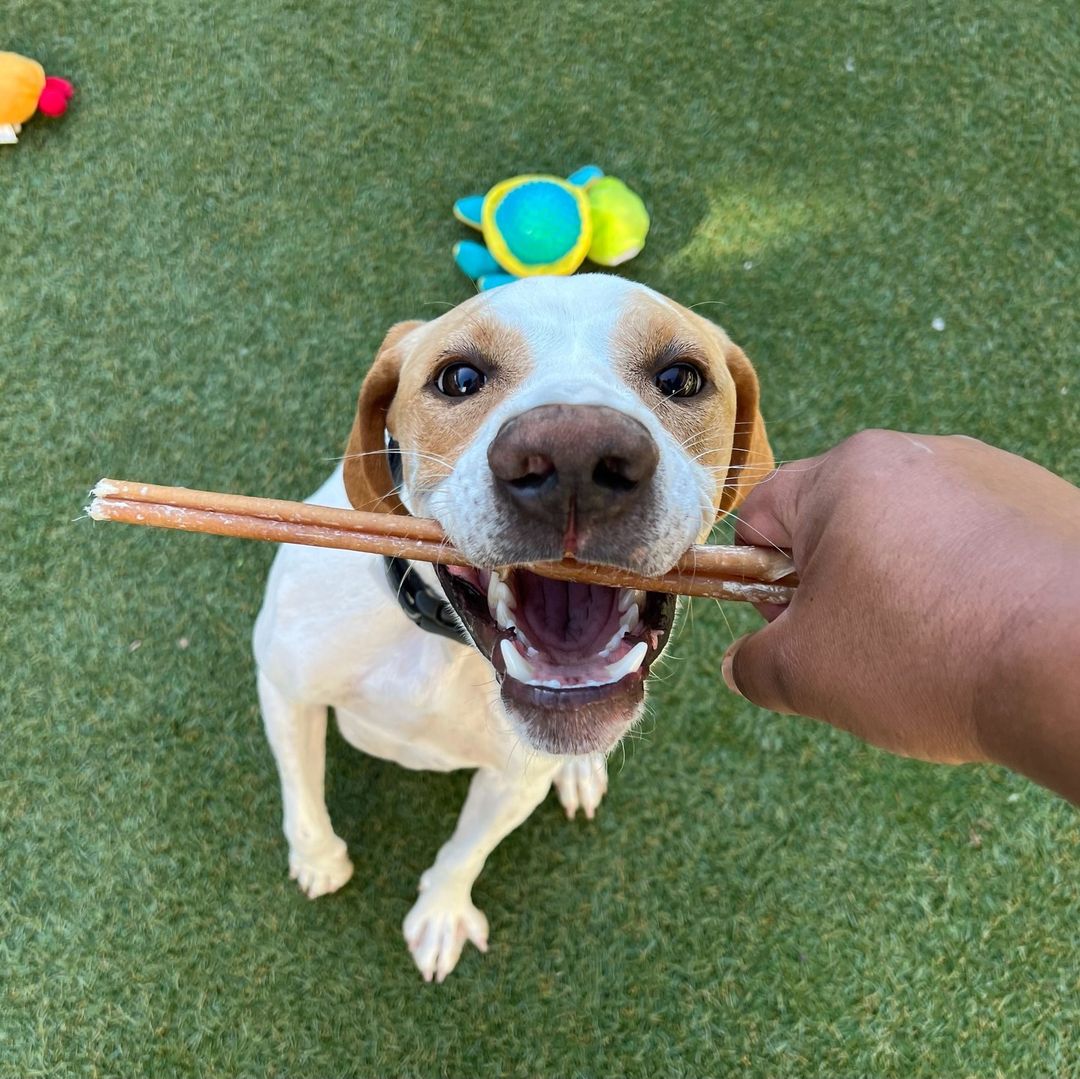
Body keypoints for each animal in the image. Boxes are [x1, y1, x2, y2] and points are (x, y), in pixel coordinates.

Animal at [250, 274, 777, 985]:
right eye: (459, 377)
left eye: (682, 377)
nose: (575, 454)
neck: (443, 651)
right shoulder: (285, 686)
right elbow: (302, 796)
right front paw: (319, 861)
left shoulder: (515, 778)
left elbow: (465, 853)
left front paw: (441, 914)